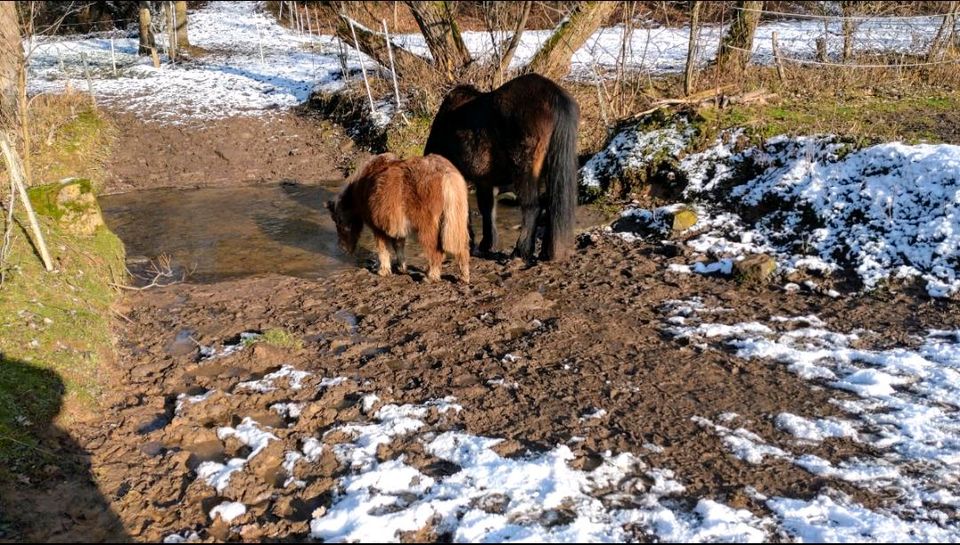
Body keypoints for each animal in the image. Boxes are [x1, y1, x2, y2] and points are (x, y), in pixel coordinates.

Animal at [326, 152, 468, 282]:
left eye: (338, 221)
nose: (342, 248)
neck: (360, 188)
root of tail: (447, 174)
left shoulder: (378, 228)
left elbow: (383, 249)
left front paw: (383, 271)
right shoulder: (397, 223)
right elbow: (399, 246)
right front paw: (401, 267)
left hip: (427, 226)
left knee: (435, 251)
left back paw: (430, 276)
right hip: (457, 221)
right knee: (462, 248)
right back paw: (464, 276)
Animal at [426, 73, 576, 260]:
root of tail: (553, 94)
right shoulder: (485, 181)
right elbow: (487, 208)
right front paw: (486, 243)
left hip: (524, 172)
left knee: (533, 208)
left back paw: (521, 251)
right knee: (551, 206)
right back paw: (546, 253)